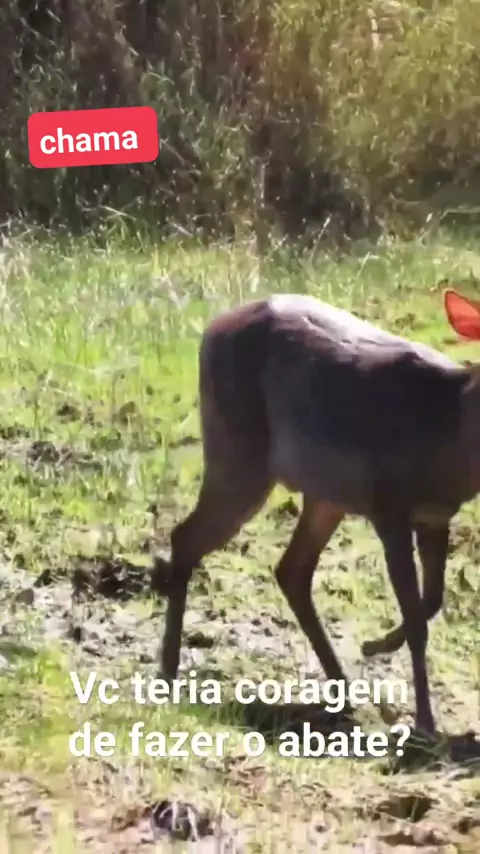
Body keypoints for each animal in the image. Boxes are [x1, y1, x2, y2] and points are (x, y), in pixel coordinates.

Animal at [151, 286, 480, 737]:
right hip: (237, 450)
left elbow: (430, 603)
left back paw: (343, 688)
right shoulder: (387, 506)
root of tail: (213, 328)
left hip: (324, 494)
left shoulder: (436, 515)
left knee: (291, 569)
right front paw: (426, 724)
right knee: (186, 537)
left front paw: (374, 645)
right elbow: (415, 615)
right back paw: (167, 670)